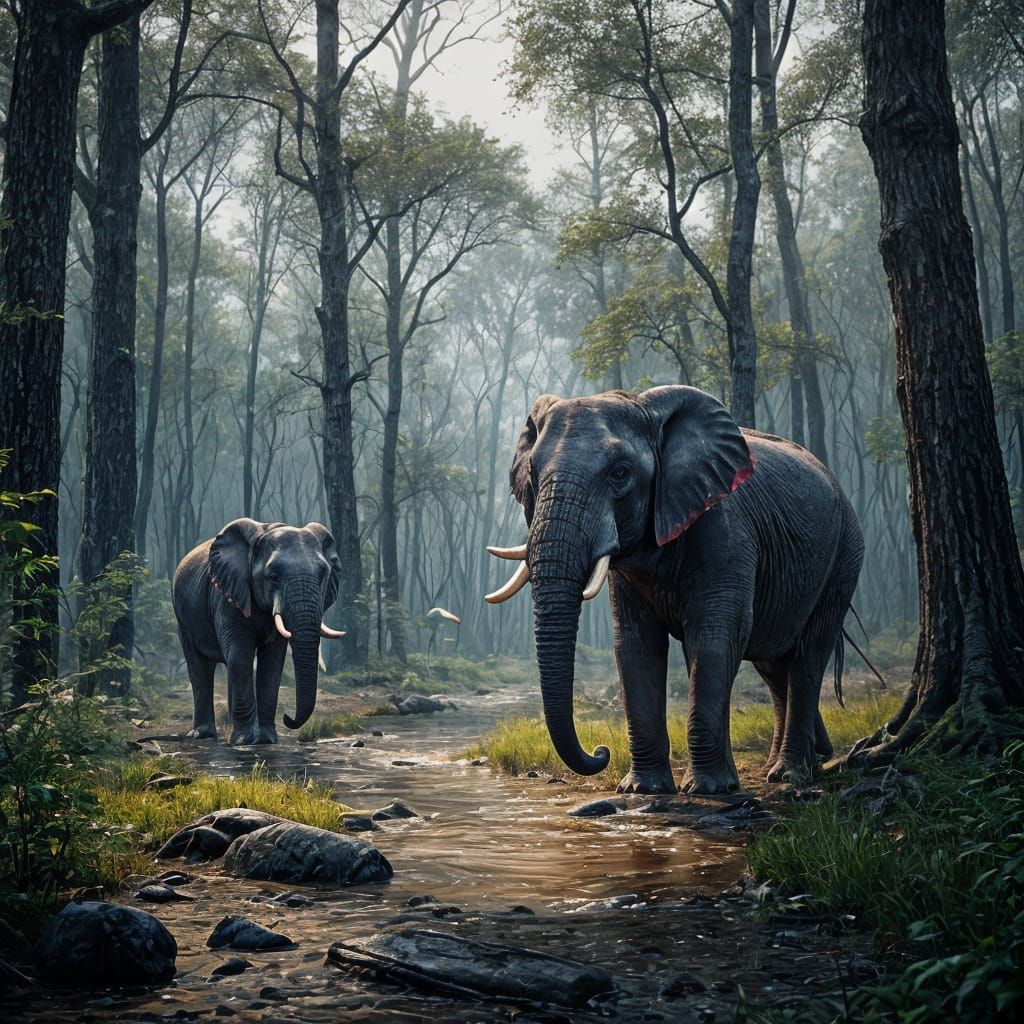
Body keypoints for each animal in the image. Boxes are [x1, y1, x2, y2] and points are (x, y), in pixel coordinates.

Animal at [172, 518, 344, 745]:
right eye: (273, 577)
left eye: (323, 575)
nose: (288, 718)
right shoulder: (228, 595)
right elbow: (241, 655)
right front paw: (244, 741)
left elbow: (272, 661)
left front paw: (266, 740)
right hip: (183, 618)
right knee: (201, 667)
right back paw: (204, 735)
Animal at [485, 386, 864, 795]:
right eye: (533, 474)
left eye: (621, 473)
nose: (601, 752)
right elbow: (635, 645)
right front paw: (643, 789)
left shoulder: (726, 530)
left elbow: (715, 636)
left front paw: (708, 789)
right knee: (774, 663)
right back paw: (806, 760)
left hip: (845, 553)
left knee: (808, 654)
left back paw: (789, 773)